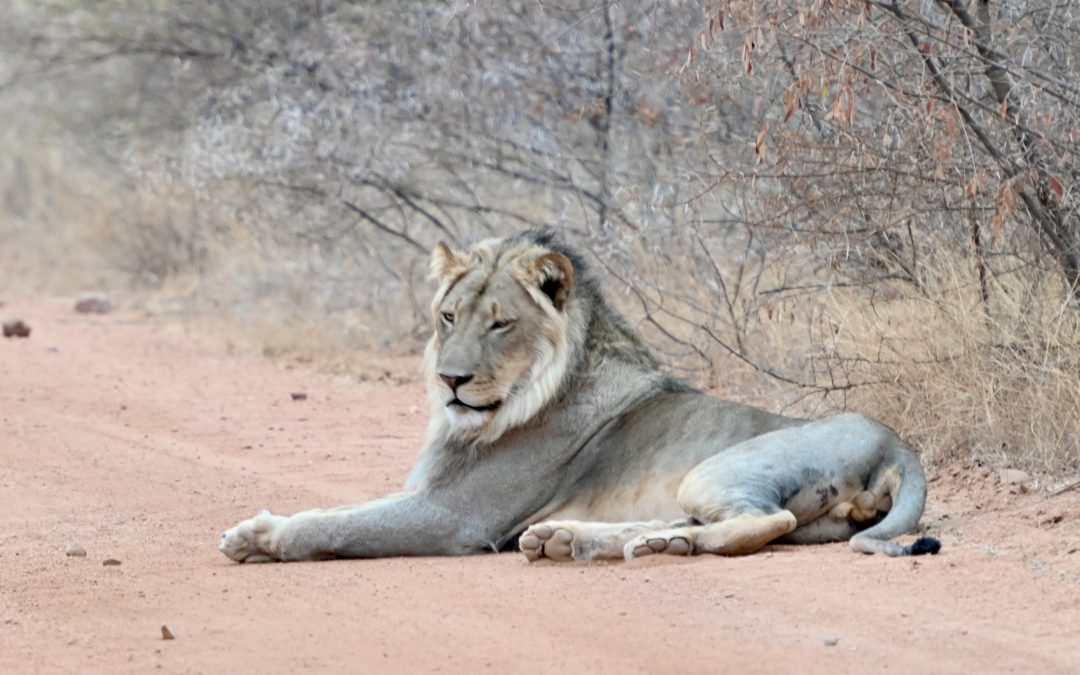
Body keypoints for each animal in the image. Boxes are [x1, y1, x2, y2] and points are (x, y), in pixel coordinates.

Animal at [219, 231, 937, 561]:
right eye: (448, 316)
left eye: (500, 323)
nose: (451, 380)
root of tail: (897, 442)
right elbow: (344, 509)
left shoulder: (454, 515)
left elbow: (338, 522)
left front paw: (260, 535)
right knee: (706, 521)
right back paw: (574, 538)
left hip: (723, 467)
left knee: (764, 521)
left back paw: (646, 546)